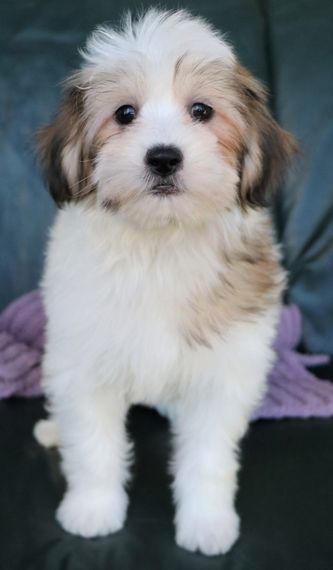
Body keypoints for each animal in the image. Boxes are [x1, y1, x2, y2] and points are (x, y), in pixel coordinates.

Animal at [33, 10, 294, 556]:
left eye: (201, 110)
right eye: (124, 114)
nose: (164, 158)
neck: (161, 240)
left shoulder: (225, 370)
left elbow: (209, 458)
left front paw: (207, 522)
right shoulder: (84, 360)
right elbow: (92, 445)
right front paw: (92, 509)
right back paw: (53, 429)